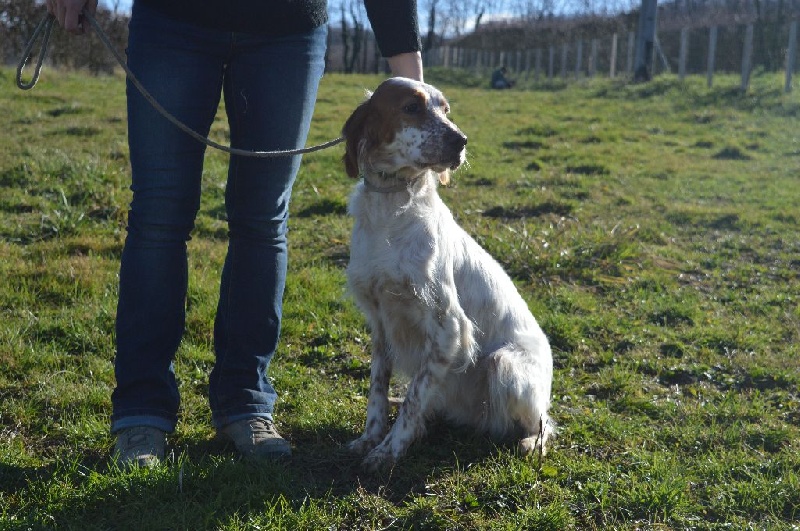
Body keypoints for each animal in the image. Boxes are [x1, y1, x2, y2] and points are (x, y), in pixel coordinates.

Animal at [340, 77, 552, 472]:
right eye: (411, 107)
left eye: (446, 109)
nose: (461, 140)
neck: (391, 208)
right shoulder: (380, 320)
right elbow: (378, 389)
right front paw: (369, 438)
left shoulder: (449, 328)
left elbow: (414, 397)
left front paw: (389, 451)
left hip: (505, 364)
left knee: (545, 422)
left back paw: (531, 442)